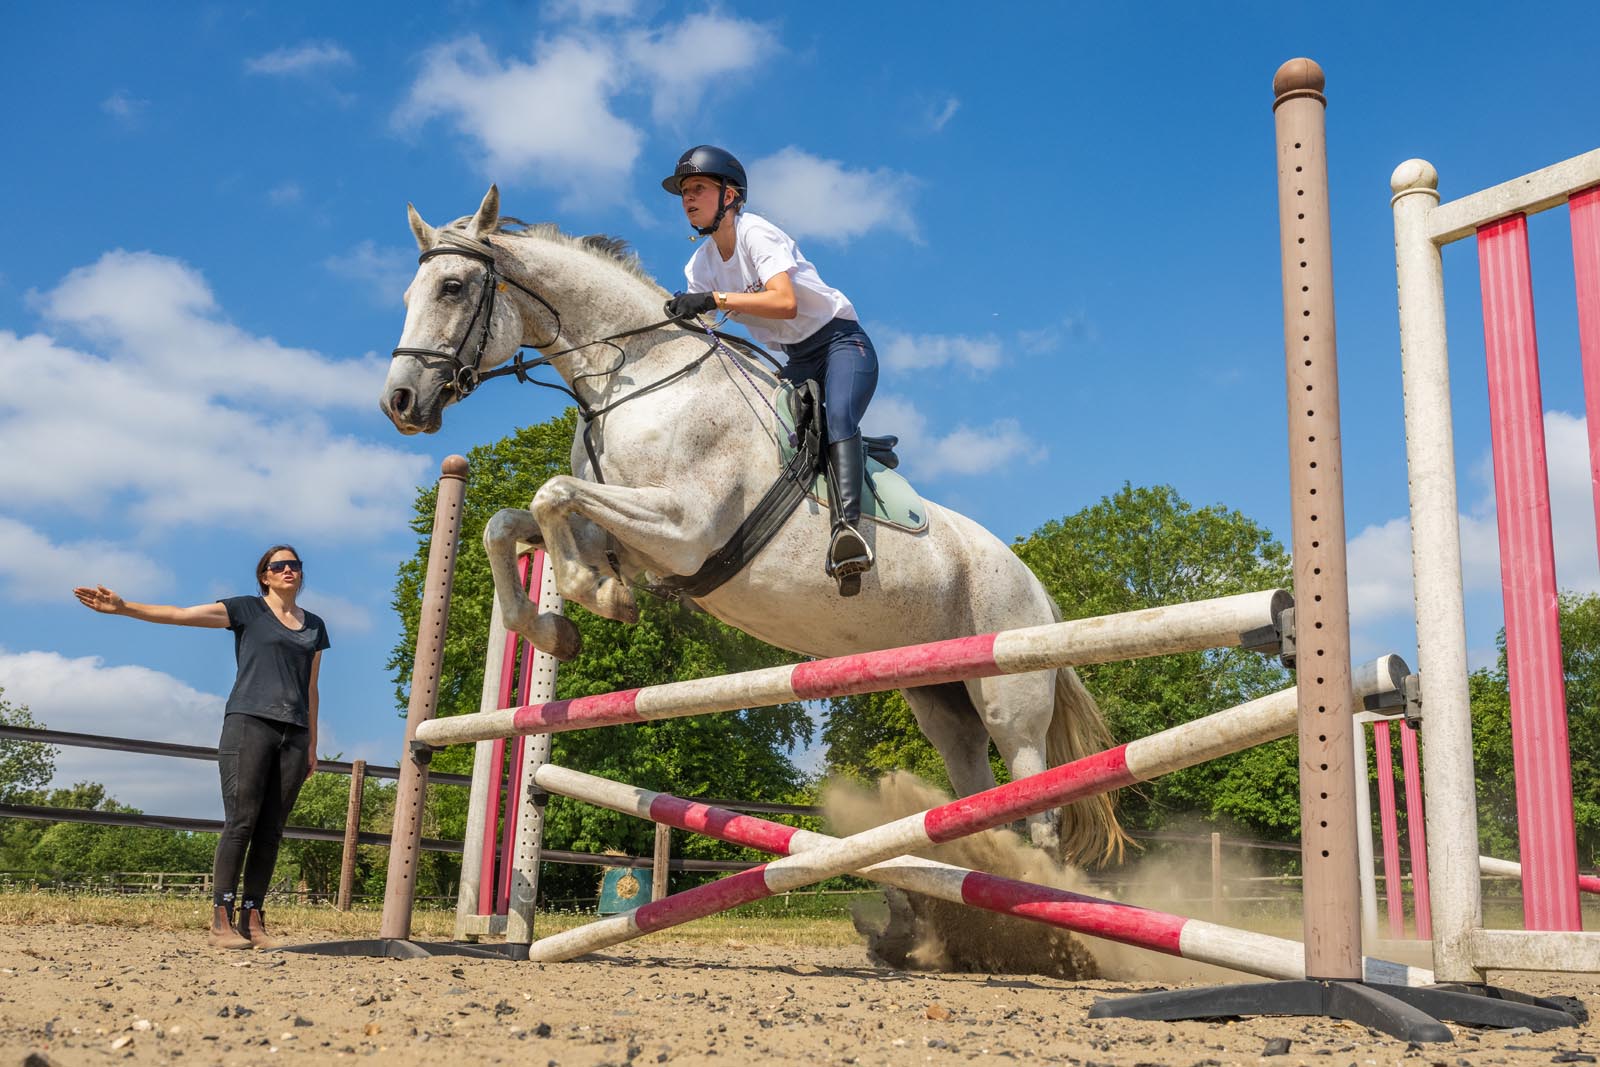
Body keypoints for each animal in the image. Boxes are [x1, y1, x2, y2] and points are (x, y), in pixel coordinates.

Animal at [380, 186, 1128, 867]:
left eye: (452, 287)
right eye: (409, 293)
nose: (400, 402)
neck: (639, 377)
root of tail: (1038, 586)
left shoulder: (682, 527)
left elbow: (551, 494)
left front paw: (601, 596)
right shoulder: (626, 530)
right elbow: (510, 521)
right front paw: (558, 624)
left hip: (1010, 693)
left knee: (1034, 802)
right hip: (942, 697)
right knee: (976, 788)